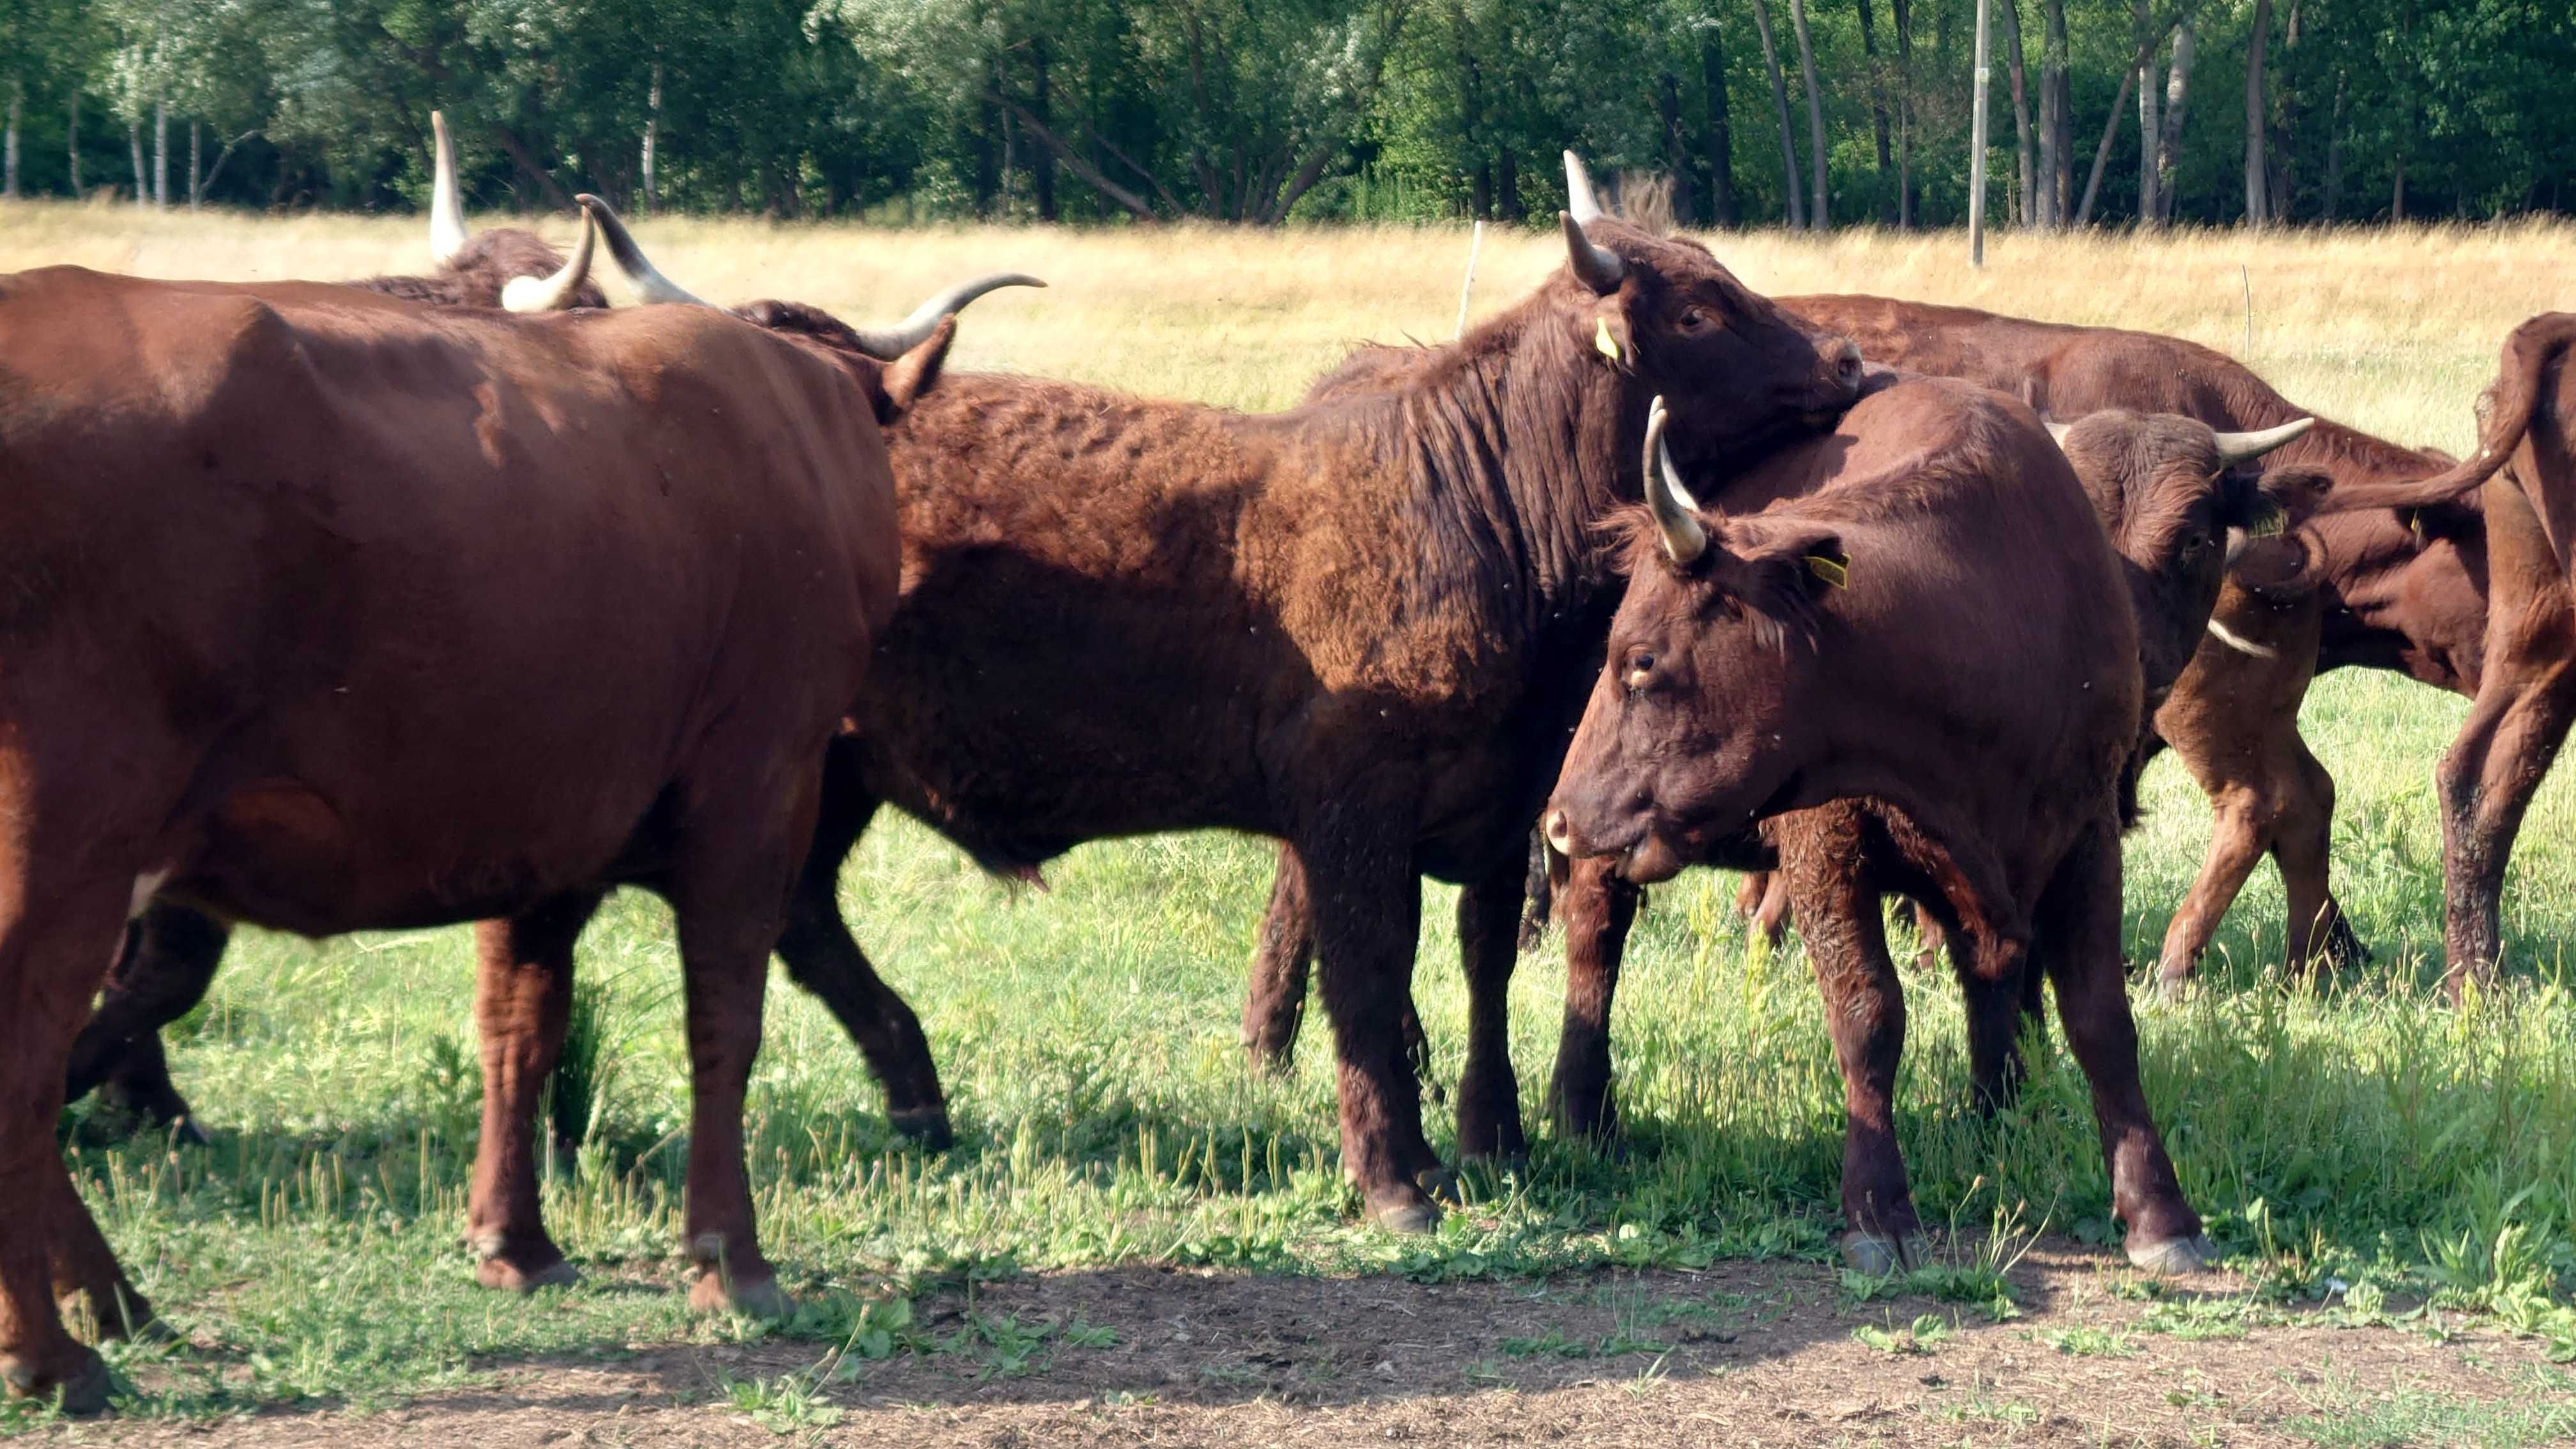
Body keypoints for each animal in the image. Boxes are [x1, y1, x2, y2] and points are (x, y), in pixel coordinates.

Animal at [0, 220, 969, 1402]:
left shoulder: (546, 821)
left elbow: (521, 1025)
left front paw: (517, 1243)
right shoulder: (756, 789)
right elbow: (724, 1023)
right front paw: (731, 1262)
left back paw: (115, 1303)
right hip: (65, 852)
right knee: (23, 1068)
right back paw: (52, 1352)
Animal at [1535, 379, 2225, 1268]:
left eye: (1645, 661)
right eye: (1618, 653)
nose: (1560, 818)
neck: (1987, 622)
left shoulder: (2084, 835)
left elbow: (2099, 1018)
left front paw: (2158, 1212)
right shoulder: (1828, 851)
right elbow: (1869, 1015)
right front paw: (1878, 1210)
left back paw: (1996, 1111)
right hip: (1613, 863)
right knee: (1595, 942)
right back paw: (1583, 1115)